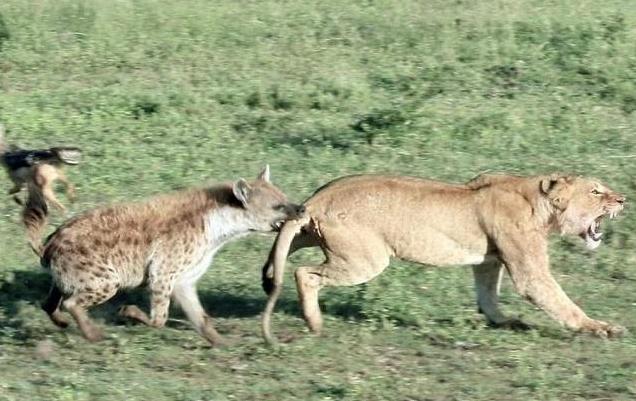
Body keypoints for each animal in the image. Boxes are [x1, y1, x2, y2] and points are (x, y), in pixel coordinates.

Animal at [260, 172, 628, 344]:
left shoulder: (489, 261)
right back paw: (315, 322)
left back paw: (270, 273)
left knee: (282, 247)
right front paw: (602, 328)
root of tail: (319, 198)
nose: (623, 199)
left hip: (310, 234)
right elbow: (561, 302)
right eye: (596, 191)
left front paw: (504, 321)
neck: (539, 201)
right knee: (304, 274)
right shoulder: (529, 271)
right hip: (366, 260)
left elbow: (488, 295)